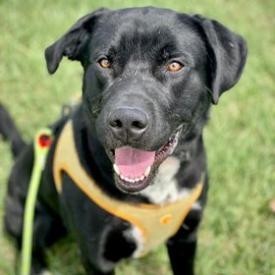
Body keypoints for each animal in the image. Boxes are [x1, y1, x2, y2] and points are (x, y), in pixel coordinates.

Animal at [1, 6, 248, 275]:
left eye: (174, 65)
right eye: (104, 62)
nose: (127, 121)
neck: (157, 185)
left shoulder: (186, 238)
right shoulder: (96, 257)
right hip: (35, 219)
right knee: (27, 245)